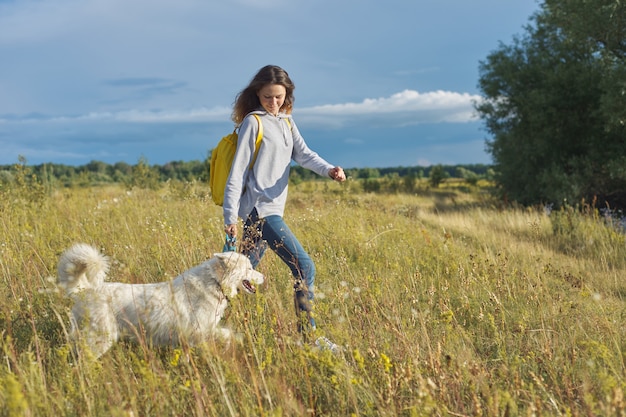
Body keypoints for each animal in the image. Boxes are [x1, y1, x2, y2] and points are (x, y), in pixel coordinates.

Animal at [56, 244, 264, 358]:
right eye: (249, 268)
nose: (264, 277)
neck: (215, 282)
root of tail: (85, 290)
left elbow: (226, 335)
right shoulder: (198, 331)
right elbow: (225, 335)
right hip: (99, 340)